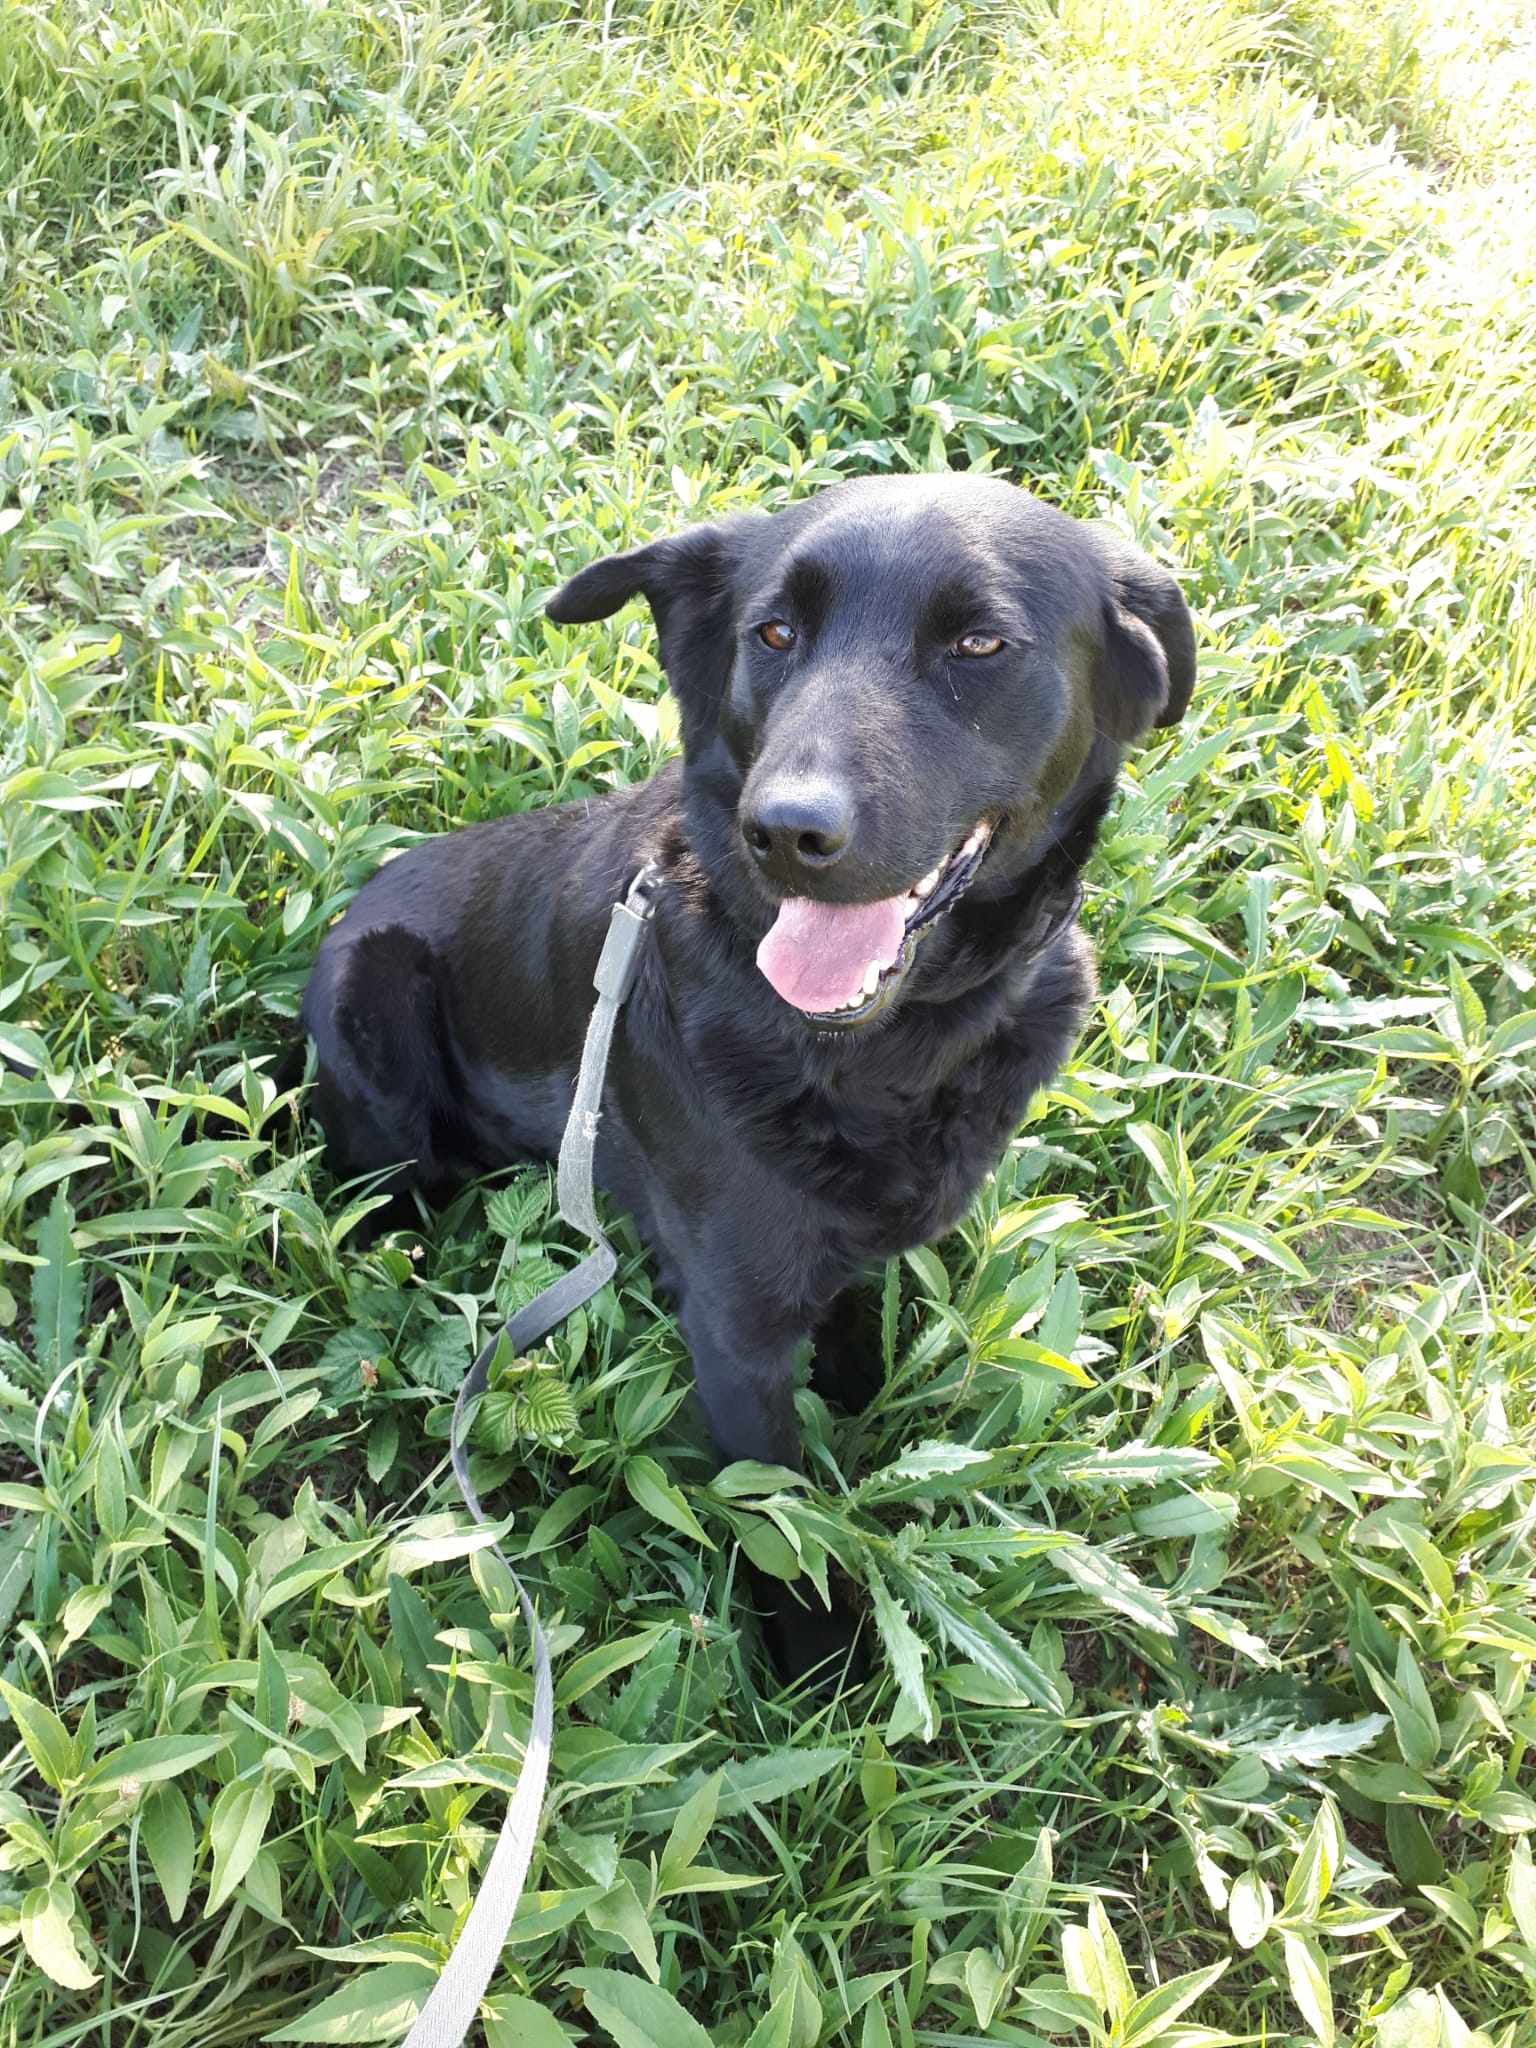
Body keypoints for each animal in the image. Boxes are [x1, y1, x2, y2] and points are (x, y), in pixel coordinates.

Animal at [298, 472, 1194, 1668]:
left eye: (978, 642)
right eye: (773, 634)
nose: (787, 832)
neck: (879, 1049)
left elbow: (855, 1338)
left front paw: (859, 1396)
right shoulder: (733, 1332)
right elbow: (779, 1513)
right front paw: (822, 1674)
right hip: (377, 1012)